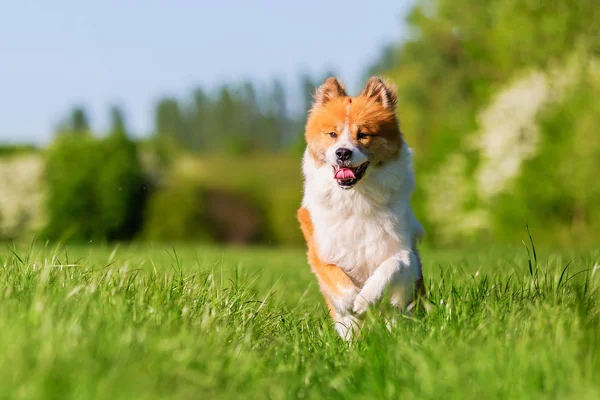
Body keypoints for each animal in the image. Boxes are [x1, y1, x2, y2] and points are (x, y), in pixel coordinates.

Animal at [298, 76, 424, 340]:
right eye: (332, 134)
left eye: (363, 134)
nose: (342, 153)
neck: (356, 198)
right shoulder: (319, 250)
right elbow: (332, 271)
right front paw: (349, 300)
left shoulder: (404, 252)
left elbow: (392, 265)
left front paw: (365, 298)